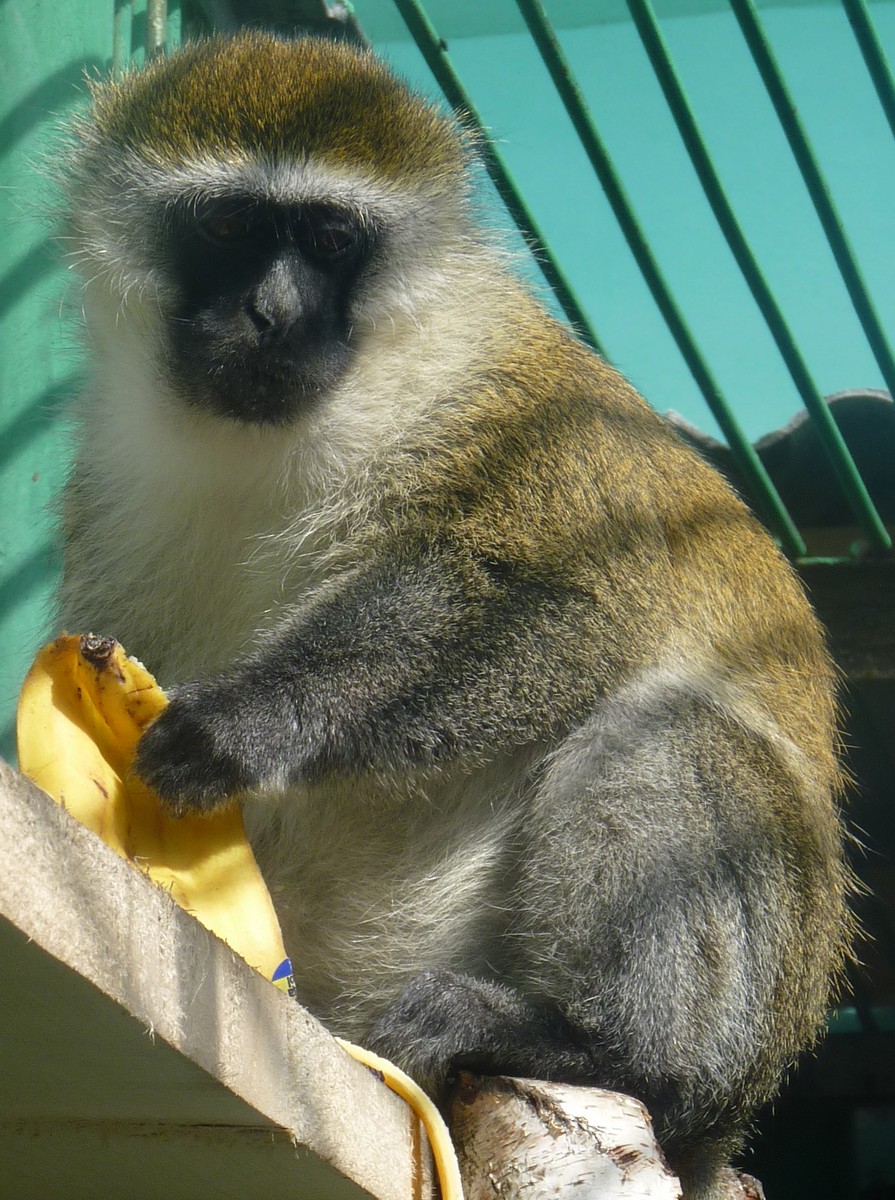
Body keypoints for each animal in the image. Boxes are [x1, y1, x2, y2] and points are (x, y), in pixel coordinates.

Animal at [59, 32, 849, 1195]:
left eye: (333, 237)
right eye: (231, 226)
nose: (274, 314)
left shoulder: (515, 408)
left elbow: (574, 602)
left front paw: (244, 723)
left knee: (674, 730)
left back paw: (600, 1048)